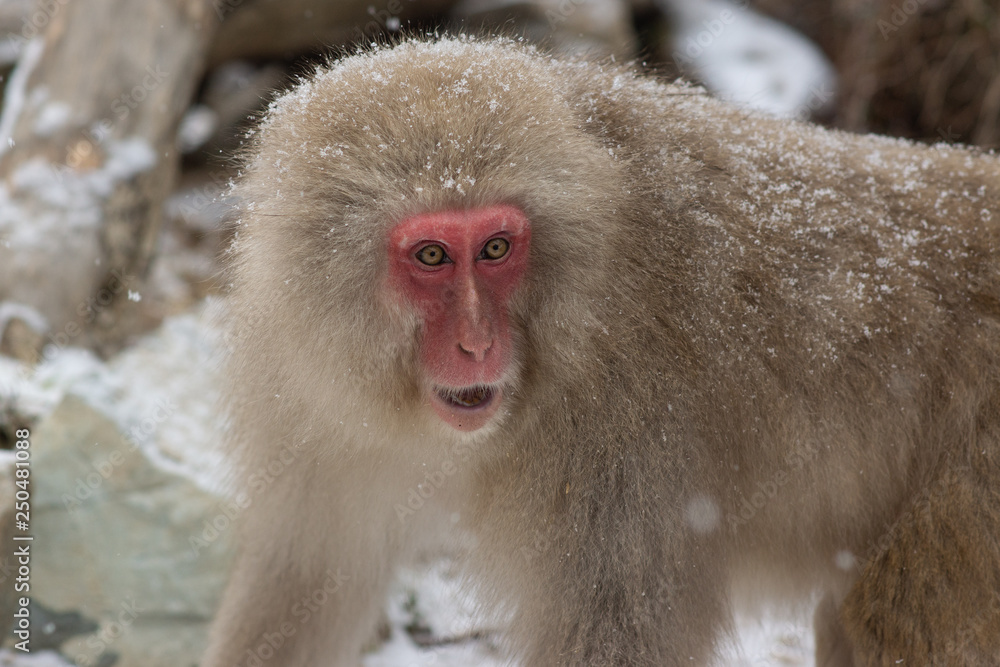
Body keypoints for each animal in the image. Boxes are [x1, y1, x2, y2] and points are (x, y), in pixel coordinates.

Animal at [201, 36, 1000, 667]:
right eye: (431, 256)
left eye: (495, 249)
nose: (477, 342)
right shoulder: (311, 377)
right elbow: (310, 575)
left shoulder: (621, 434)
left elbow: (616, 640)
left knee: (898, 617)